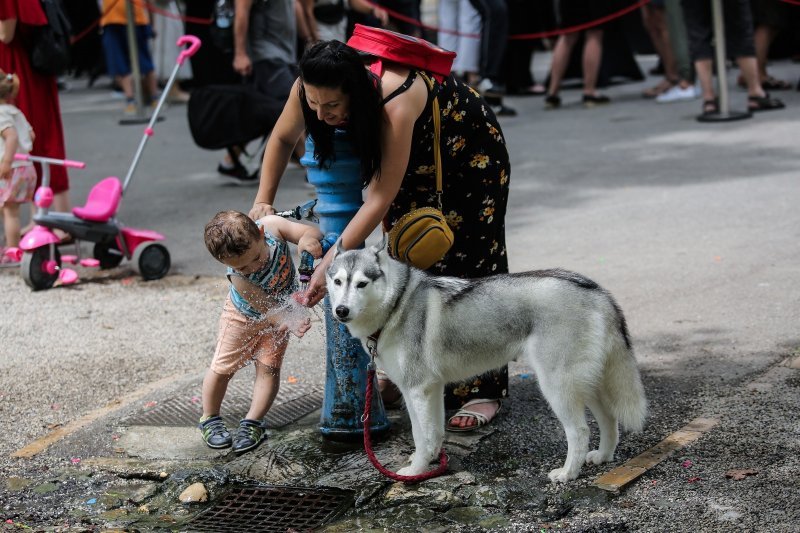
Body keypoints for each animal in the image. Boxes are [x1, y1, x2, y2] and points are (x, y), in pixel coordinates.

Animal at [328, 239, 648, 480]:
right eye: (338, 281)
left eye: (361, 284)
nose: (341, 311)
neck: (396, 304)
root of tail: (596, 290)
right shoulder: (429, 390)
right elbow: (432, 435)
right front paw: (429, 462)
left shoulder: (417, 390)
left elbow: (423, 437)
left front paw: (416, 472)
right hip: (585, 384)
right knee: (609, 419)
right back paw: (603, 456)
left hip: (557, 387)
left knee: (580, 432)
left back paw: (568, 473)